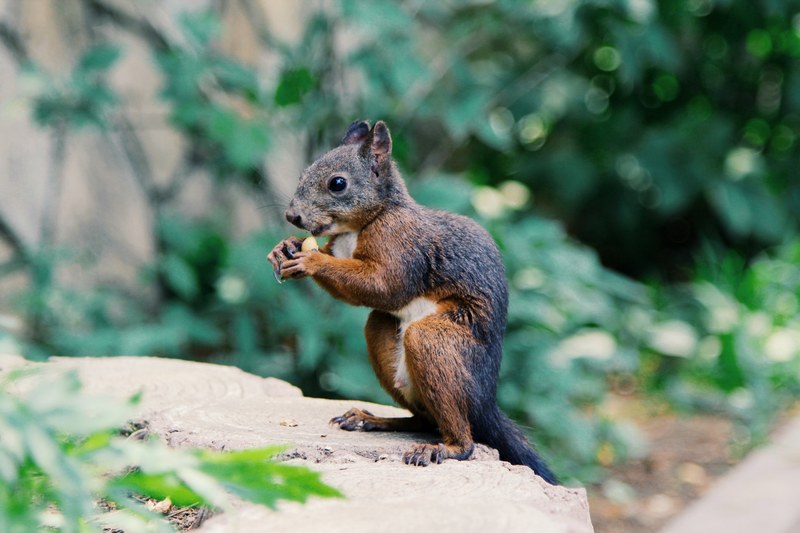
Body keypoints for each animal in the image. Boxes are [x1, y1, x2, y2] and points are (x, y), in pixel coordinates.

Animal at [267, 120, 557, 485]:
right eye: (303, 172)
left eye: (338, 183)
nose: (292, 216)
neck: (364, 224)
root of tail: (485, 403)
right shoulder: (340, 247)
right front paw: (284, 248)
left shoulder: (402, 244)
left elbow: (384, 286)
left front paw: (310, 260)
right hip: (383, 336)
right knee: (422, 418)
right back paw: (370, 419)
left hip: (438, 342)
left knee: (462, 437)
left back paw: (445, 448)